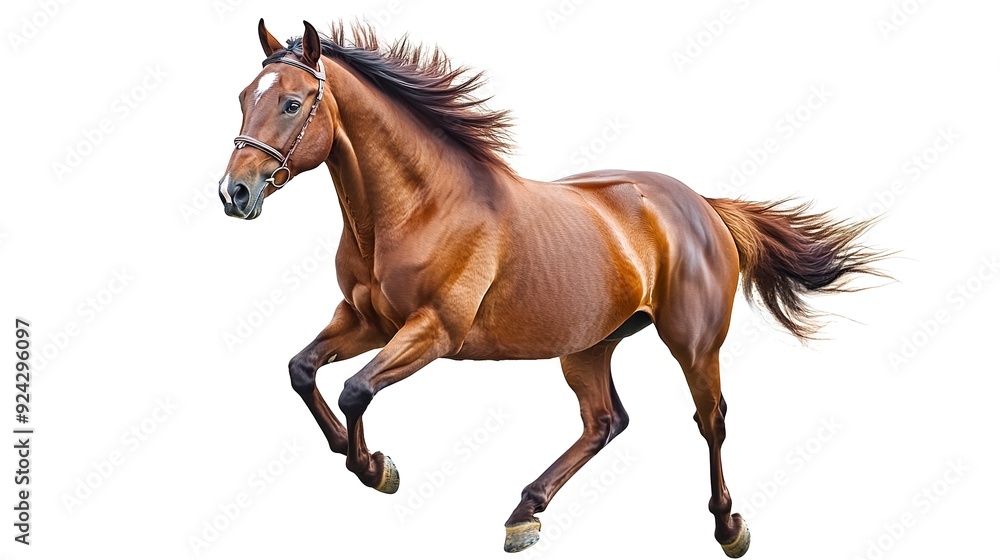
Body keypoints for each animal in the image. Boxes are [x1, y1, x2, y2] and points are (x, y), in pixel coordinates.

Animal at [218, 20, 886, 556]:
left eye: (292, 103)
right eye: (245, 98)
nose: (234, 193)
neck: (418, 207)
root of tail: (704, 206)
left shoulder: (433, 330)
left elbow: (355, 389)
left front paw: (375, 467)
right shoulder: (365, 321)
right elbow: (302, 370)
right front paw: (362, 459)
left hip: (693, 344)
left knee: (710, 419)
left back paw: (728, 527)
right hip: (587, 346)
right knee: (605, 421)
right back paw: (524, 514)